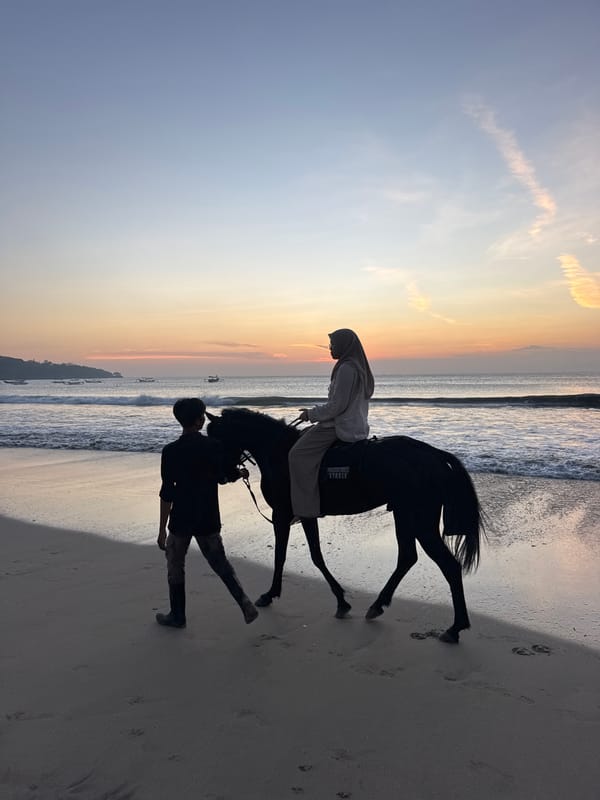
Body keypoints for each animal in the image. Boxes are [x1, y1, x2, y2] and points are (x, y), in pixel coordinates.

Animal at [206, 408, 484, 643]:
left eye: (216, 440)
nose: (223, 476)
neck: (279, 452)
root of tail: (434, 455)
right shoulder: (304, 515)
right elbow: (313, 556)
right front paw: (340, 600)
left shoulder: (283, 514)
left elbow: (288, 555)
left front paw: (272, 594)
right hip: (406, 516)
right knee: (409, 558)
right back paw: (380, 606)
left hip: (418, 520)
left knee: (447, 565)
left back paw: (455, 627)